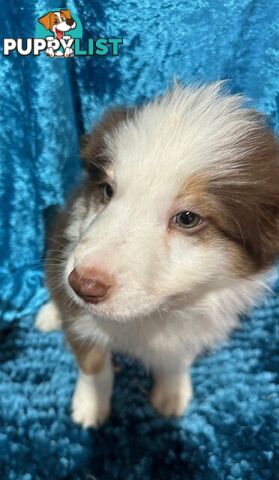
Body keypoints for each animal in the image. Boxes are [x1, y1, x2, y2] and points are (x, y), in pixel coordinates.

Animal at [36, 82, 279, 428]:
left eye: (187, 218)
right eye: (108, 190)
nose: (83, 285)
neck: (156, 314)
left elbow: (177, 357)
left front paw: (171, 393)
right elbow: (93, 362)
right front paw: (90, 405)